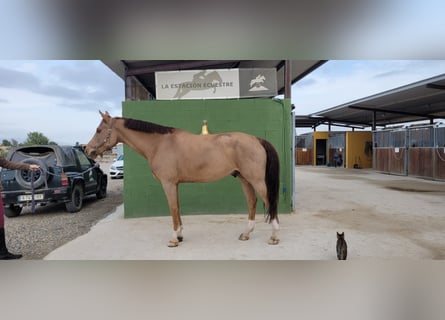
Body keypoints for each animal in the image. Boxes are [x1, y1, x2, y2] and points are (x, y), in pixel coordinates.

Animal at [83, 110, 280, 248]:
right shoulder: (175, 184)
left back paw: (274, 237)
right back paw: (246, 234)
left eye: (99, 130)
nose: (87, 150)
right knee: (252, 202)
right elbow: (177, 208)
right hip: (244, 179)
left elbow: (173, 208)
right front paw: (180, 235)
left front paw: (173, 239)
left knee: (268, 201)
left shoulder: (168, 183)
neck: (159, 144)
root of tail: (257, 139)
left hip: (256, 180)